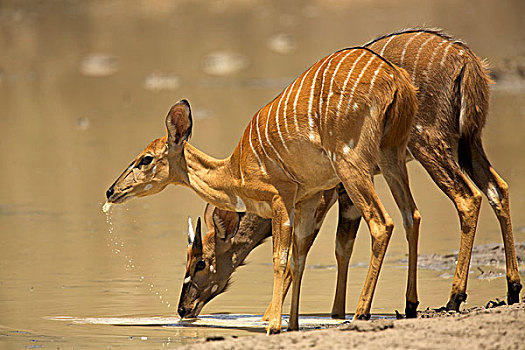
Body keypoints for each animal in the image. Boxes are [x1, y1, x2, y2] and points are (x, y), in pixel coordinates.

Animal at [105, 47, 418, 334]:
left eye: (145, 159)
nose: (110, 191)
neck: (237, 171)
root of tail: (395, 80)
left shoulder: (282, 198)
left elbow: (281, 259)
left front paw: (274, 325)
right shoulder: (307, 199)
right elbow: (298, 259)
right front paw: (291, 325)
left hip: (351, 164)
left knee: (382, 223)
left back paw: (361, 314)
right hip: (391, 154)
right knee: (411, 215)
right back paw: (410, 306)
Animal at [175, 28, 520, 320]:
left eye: (201, 260)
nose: (182, 308)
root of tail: (467, 59)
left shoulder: (321, 193)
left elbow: (302, 250)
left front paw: (270, 317)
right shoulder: (342, 192)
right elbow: (343, 247)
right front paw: (336, 312)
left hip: (429, 143)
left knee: (467, 197)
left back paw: (453, 298)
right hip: (468, 143)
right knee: (497, 189)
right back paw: (510, 289)